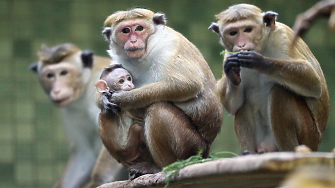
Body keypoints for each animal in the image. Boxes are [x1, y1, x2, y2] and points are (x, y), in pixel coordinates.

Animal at [29, 43, 129, 187]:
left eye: (63, 73)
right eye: (49, 75)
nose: (56, 90)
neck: (84, 87)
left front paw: (97, 182)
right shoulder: (71, 111)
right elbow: (85, 154)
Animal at [100, 7, 226, 178]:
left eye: (139, 28)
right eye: (125, 30)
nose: (133, 41)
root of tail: (207, 149)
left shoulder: (168, 49)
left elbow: (187, 84)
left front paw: (124, 99)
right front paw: (103, 100)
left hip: (192, 146)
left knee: (159, 109)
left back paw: (162, 168)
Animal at [210, 3, 330, 153]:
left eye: (248, 30)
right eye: (233, 33)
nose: (242, 45)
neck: (262, 46)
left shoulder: (283, 38)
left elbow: (314, 82)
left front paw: (260, 62)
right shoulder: (229, 53)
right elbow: (233, 106)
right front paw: (231, 71)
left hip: (309, 135)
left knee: (280, 92)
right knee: (243, 105)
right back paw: (248, 154)